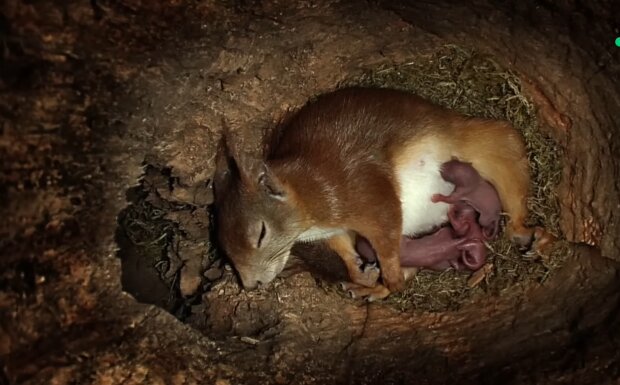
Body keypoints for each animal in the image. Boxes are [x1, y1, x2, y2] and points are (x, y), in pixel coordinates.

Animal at [214, 87, 552, 300]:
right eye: (224, 246)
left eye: (261, 233)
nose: (251, 285)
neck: (308, 192)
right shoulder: (336, 230)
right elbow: (343, 248)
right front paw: (358, 272)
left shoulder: (366, 193)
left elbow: (386, 230)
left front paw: (387, 273)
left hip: (493, 150)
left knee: (510, 179)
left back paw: (530, 235)